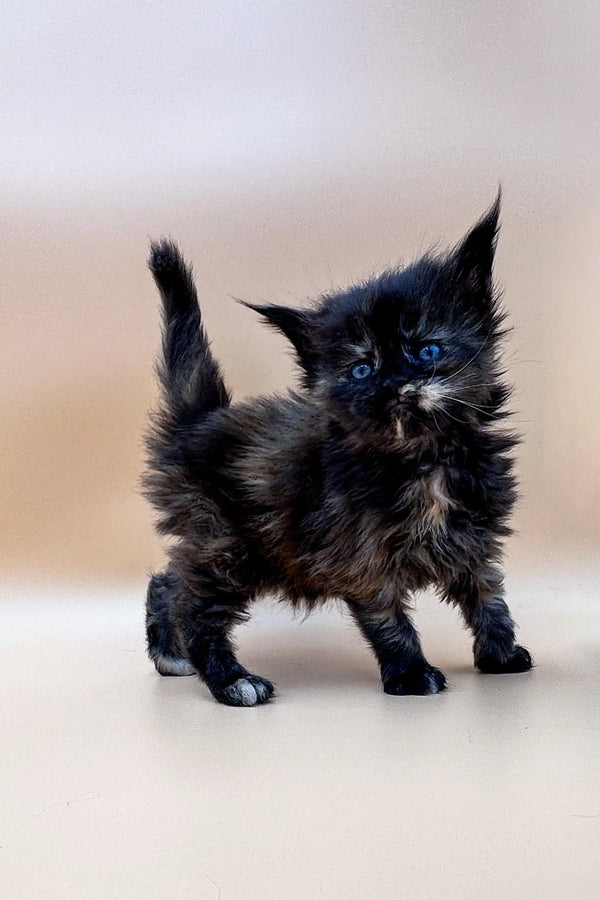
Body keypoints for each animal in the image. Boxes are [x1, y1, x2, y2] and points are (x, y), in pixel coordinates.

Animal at [143, 195, 532, 704]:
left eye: (426, 350)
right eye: (362, 369)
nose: (394, 383)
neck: (425, 461)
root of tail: (202, 417)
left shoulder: (475, 541)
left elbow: (490, 600)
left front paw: (501, 656)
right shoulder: (359, 558)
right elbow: (390, 622)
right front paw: (410, 674)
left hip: (229, 546)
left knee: (168, 581)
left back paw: (172, 657)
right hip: (226, 542)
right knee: (196, 607)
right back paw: (232, 681)